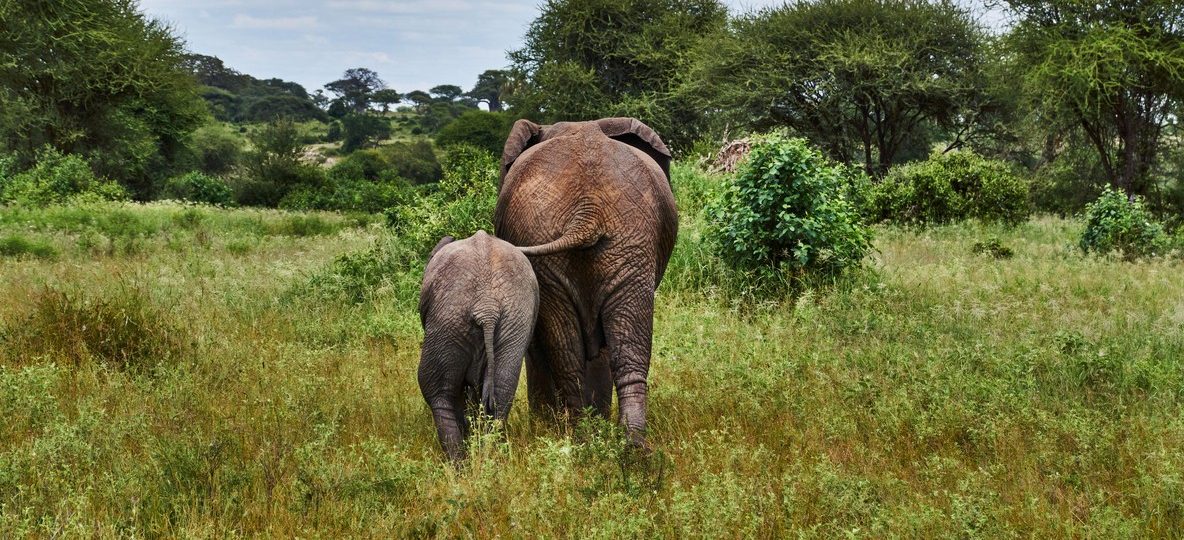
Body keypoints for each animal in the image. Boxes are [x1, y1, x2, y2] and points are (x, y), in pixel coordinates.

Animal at [418, 231, 539, 461]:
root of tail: (487, 308)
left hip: (448, 320)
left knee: (437, 392)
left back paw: (458, 465)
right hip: (513, 322)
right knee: (501, 392)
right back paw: (488, 457)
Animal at [493, 117, 677, 447]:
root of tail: (587, 211)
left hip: (621, 242)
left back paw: (599, 441)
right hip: (621, 242)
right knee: (609, 349)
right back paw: (616, 444)